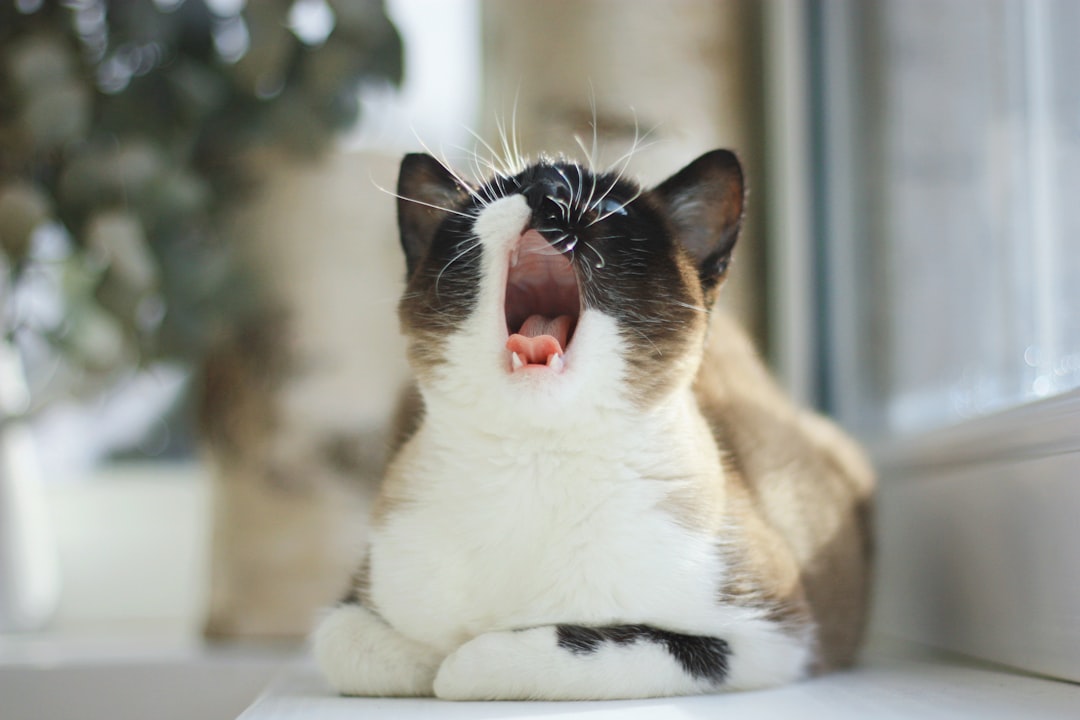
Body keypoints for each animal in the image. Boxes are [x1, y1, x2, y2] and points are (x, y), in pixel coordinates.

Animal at [308, 148, 872, 699]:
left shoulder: (772, 636)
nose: (547, 194)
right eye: (501, 192)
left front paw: (463, 658)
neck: (534, 465)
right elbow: (361, 649)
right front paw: (430, 654)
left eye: (611, 209)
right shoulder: (351, 603)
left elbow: (515, 655)